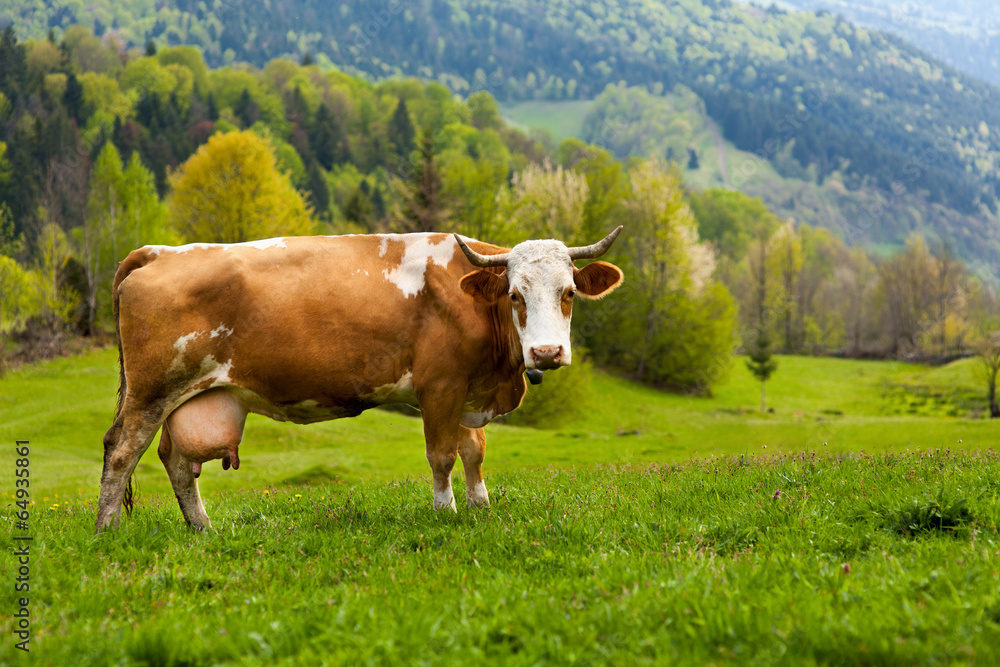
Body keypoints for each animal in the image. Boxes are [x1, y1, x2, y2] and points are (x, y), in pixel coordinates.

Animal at [96, 227, 624, 531]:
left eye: (569, 292)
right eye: (515, 294)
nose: (547, 352)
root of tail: (160, 252)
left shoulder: (467, 389)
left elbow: (474, 451)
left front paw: (480, 506)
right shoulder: (440, 387)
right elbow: (443, 455)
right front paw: (446, 512)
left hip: (187, 396)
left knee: (174, 459)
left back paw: (202, 527)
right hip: (150, 390)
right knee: (122, 450)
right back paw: (107, 530)